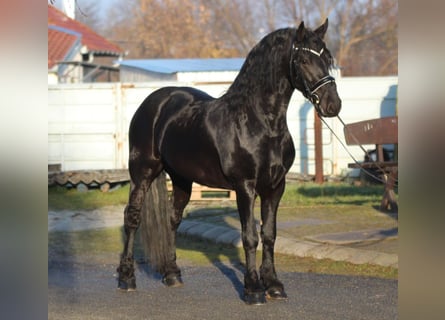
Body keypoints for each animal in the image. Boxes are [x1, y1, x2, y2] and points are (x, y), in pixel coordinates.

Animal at [117, 20, 340, 304]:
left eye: (327, 57)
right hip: (142, 172)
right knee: (132, 217)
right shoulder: (245, 186)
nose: (333, 105)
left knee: (172, 219)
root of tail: (155, 101)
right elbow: (250, 237)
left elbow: (269, 235)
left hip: (181, 179)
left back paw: (172, 274)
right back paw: (126, 278)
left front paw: (274, 285)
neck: (258, 122)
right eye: (302, 59)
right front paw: (253, 288)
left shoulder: (275, 187)